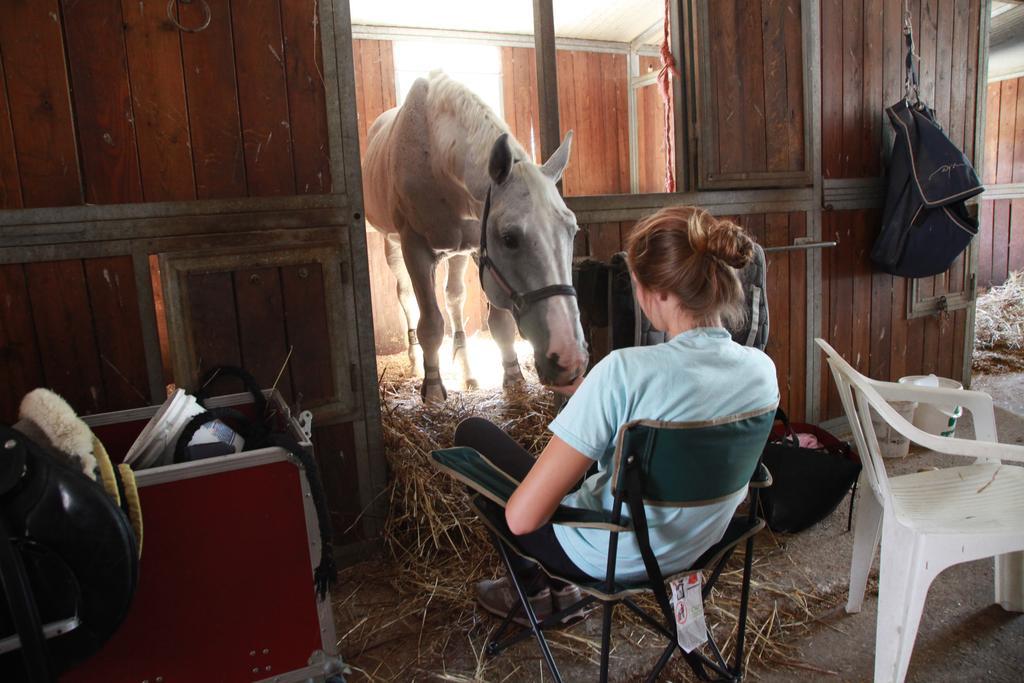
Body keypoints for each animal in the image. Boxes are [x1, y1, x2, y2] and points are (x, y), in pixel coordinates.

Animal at [362, 70, 589, 401]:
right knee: (405, 297)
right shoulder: (414, 247)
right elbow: (431, 324)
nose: (569, 358)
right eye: (509, 238)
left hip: (456, 253)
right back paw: (417, 362)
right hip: (391, 244)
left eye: (572, 230)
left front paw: (513, 376)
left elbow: (499, 324)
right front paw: (433, 389)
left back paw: (467, 371)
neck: (436, 155)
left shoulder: (476, 249)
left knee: (454, 299)